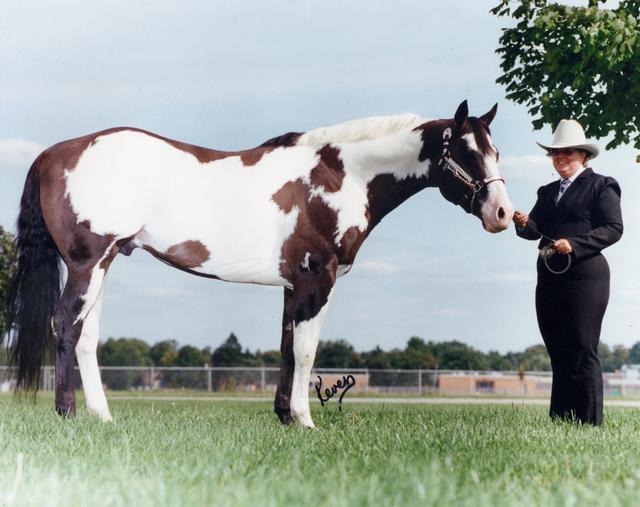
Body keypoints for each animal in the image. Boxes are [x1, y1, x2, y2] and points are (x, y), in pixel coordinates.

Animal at [2, 100, 513, 427]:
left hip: (103, 264)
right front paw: (305, 421)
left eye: (495, 151)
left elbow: (287, 348)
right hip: (88, 264)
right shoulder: (316, 279)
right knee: (65, 326)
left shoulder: (293, 285)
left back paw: (102, 416)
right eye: (465, 152)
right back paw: (68, 414)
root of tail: (55, 152)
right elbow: (306, 351)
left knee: (86, 336)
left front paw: (284, 417)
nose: (503, 214)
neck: (340, 176)